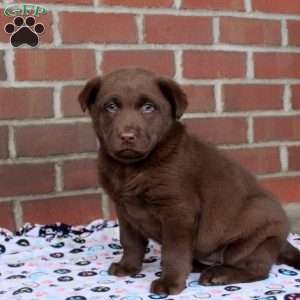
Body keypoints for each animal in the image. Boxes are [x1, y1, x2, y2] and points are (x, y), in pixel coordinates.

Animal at [79, 68, 300, 296]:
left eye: (148, 107)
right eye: (111, 106)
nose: (127, 136)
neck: (132, 167)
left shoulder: (178, 212)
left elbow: (174, 252)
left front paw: (170, 282)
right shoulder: (125, 210)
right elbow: (130, 242)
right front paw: (128, 267)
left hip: (257, 237)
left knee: (256, 269)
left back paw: (219, 274)